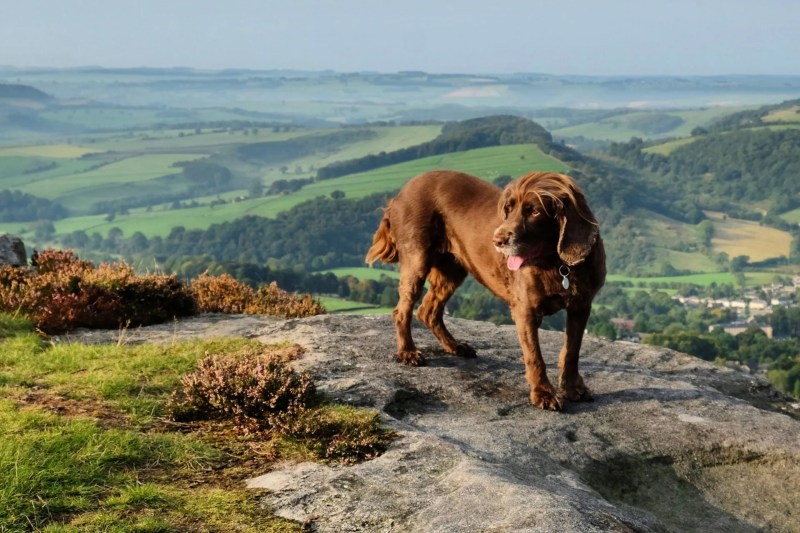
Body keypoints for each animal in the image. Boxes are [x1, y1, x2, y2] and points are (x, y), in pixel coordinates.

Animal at [366, 168, 604, 410]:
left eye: (535, 211)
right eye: (508, 209)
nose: (497, 240)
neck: (558, 264)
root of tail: (402, 191)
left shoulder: (581, 306)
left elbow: (572, 351)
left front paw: (572, 389)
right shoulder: (525, 309)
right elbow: (535, 355)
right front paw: (543, 393)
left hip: (453, 270)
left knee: (428, 311)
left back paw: (455, 346)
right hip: (417, 259)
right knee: (402, 310)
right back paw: (408, 352)